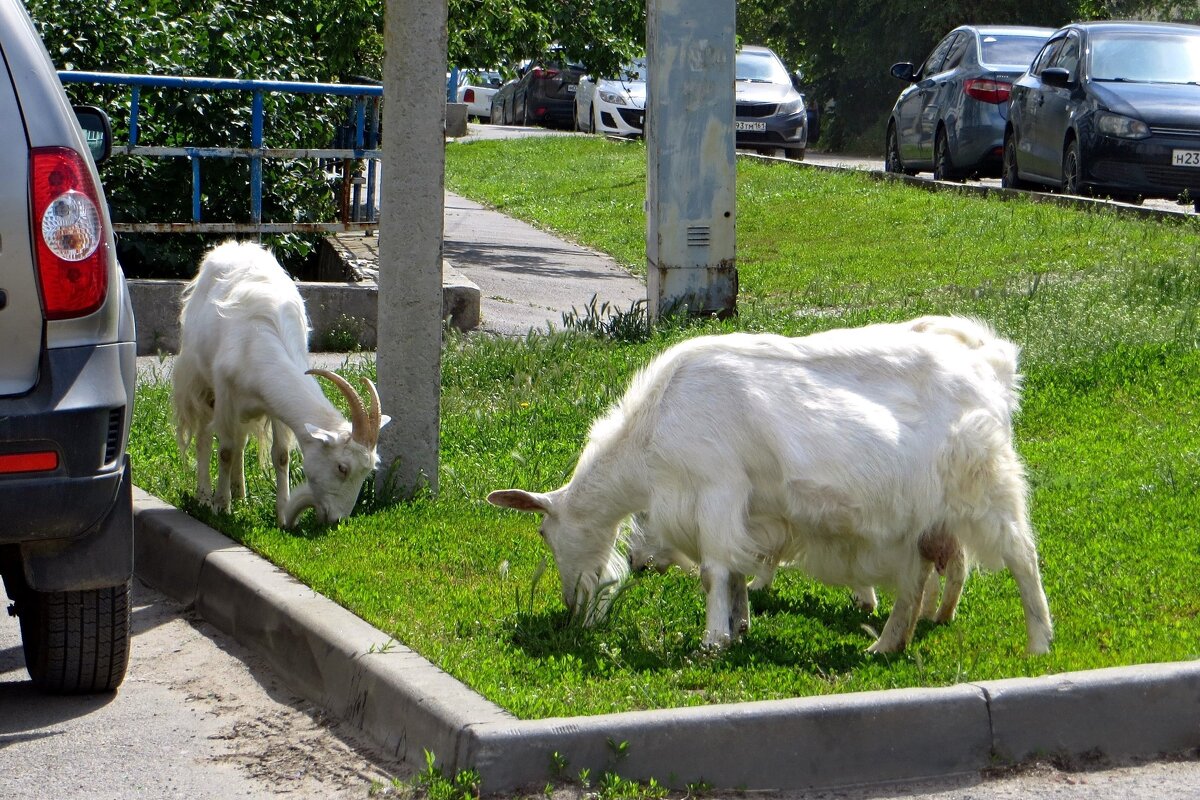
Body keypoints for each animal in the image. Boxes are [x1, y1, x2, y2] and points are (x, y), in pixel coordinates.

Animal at [171, 239, 388, 525]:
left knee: (240, 441)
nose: (337, 519)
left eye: (368, 471)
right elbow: (225, 450)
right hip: (200, 382)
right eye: (342, 467)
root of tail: (232, 246)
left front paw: (282, 514)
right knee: (204, 436)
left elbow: (281, 455)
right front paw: (221, 506)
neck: (255, 344)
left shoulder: (274, 405)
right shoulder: (226, 396)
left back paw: (240, 493)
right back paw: (205, 495)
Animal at [487, 316, 1051, 652]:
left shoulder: (717, 490)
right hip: (917, 516)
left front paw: (712, 642)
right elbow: (737, 572)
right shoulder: (747, 511)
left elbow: (714, 571)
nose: (570, 606)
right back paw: (885, 645)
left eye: (542, 533)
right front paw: (739, 626)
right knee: (916, 580)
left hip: (984, 486)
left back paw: (1040, 643)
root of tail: (992, 368)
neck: (653, 428)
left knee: (1021, 555)